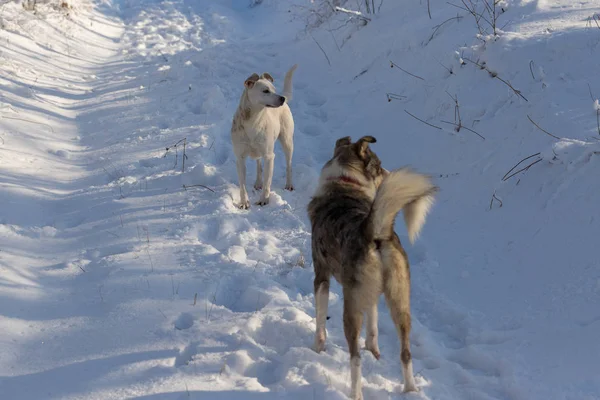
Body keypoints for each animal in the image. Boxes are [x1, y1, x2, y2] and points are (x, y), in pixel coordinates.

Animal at [230, 64, 298, 208]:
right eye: (265, 91)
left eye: (274, 89)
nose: (282, 98)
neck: (253, 120)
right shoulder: (240, 158)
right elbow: (242, 186)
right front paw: (244, 202)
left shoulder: (269, 156)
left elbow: (268, 182)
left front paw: (264, 200)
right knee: (258, 164)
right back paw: (258, 182)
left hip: (287, 142)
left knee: (288, 165)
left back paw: (289, 184)